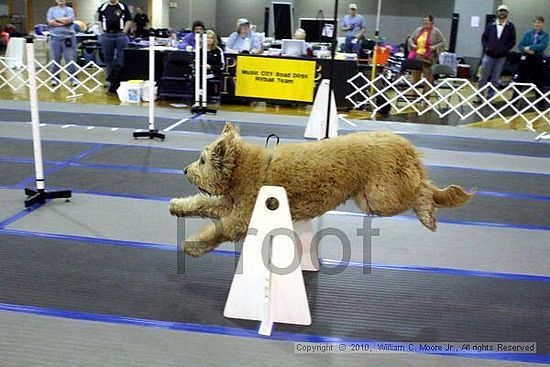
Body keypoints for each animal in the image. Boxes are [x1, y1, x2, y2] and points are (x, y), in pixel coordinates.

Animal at [169, 122, 474, 258]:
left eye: (203, 160)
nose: (184, 170)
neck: (246, 168)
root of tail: (407, 147)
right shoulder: (230, 203)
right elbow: (200, 203)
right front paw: (177, 206)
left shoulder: (241, 217)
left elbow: (217, 230)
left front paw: (192, 245)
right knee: (424, 186)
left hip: (381, 195)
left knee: (423, 190)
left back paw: (427, 215)